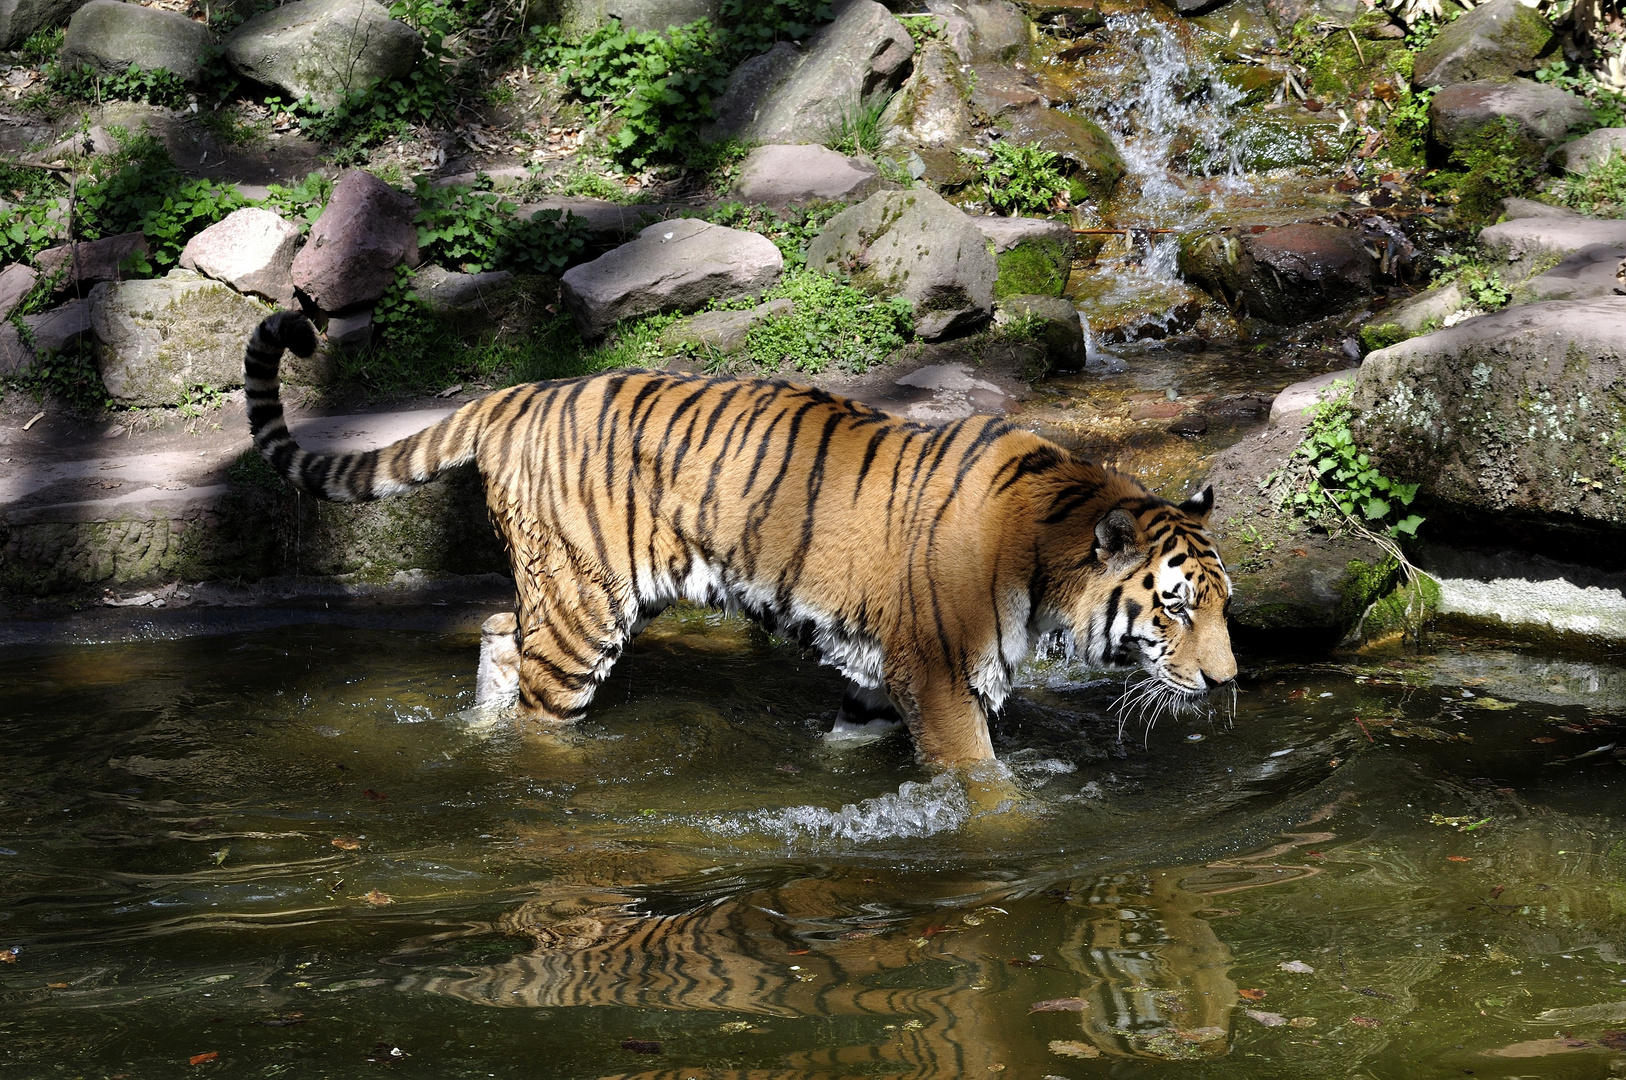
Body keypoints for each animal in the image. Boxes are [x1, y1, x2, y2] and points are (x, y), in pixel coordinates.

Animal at [243, 312, 1229, 767]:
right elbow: (985, 788)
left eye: (1224, 609)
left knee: (493, 634)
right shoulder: (943, 678)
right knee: (538, 709)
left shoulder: (879, 677)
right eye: (1174, 609)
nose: (1228, 682)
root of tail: (517, 392)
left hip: (565, 592)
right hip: (581, 611)